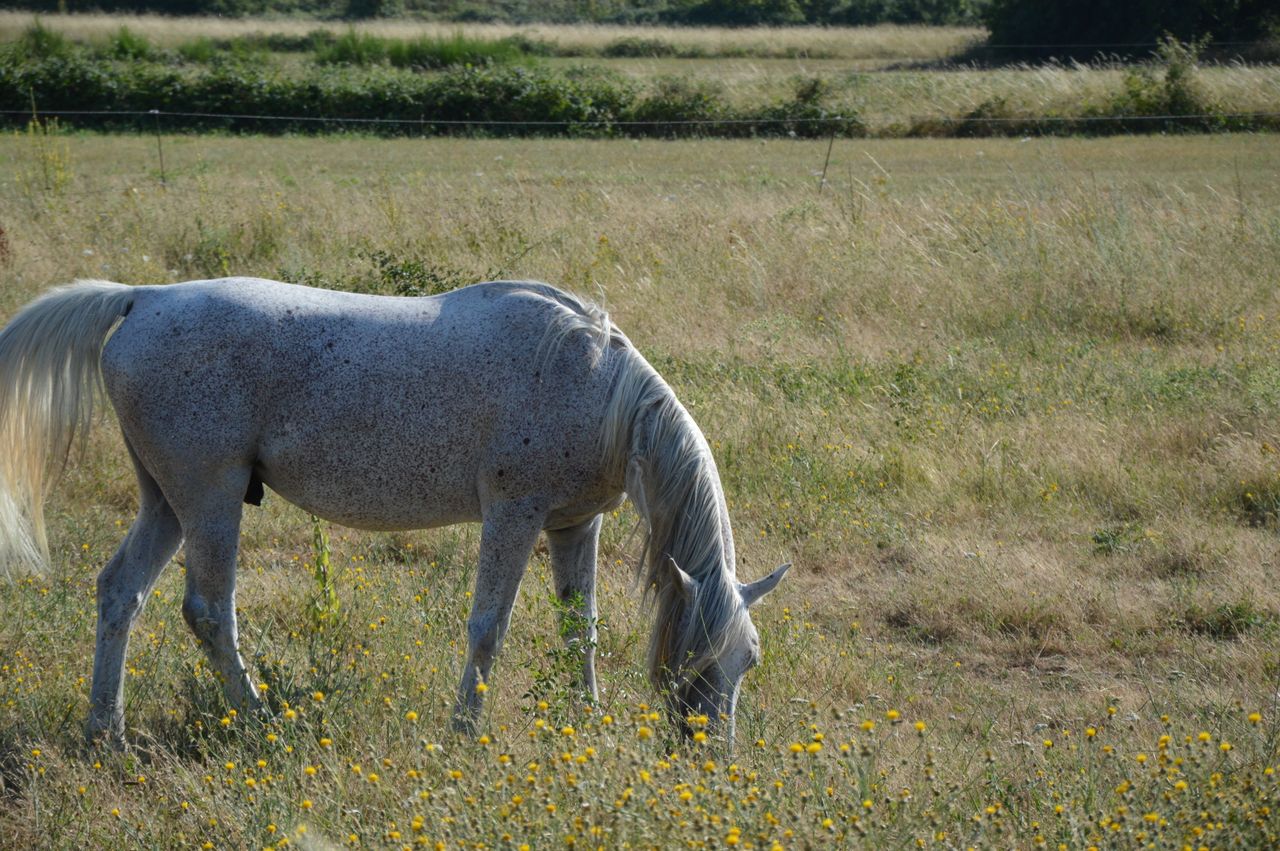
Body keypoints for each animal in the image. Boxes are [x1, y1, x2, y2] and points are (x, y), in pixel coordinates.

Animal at [0, 277, 787, 747]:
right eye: (702, 658)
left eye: (748, 659)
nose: (712, 753)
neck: (594, 385)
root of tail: (146, 295)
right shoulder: (513, 514)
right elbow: (489, 628)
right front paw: (464, 733)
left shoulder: (573, 525)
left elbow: (581, 630)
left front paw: (584, 720)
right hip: (210, 498)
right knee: (208, 611)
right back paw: (260, 718)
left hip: (168, 501)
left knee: (120, 592)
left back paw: (106, 731)